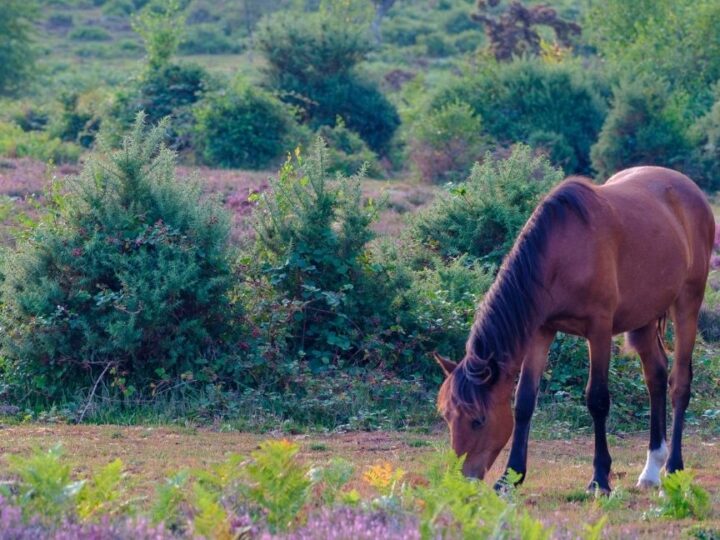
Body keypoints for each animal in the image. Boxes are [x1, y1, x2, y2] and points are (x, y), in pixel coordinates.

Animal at [435, 166, 714, 493]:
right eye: (447, 416)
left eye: (478, 420)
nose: (460, 480)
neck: (562, 250)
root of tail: (689, 188)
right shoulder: (541, 331)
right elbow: (524, 401)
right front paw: (510, 477)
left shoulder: (599, 329)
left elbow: (597, 399)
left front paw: (599, 479)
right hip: (643, 318)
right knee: (655, 377)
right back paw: (651, 469)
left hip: (687, 305)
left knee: (679, 383)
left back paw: (673, 466)